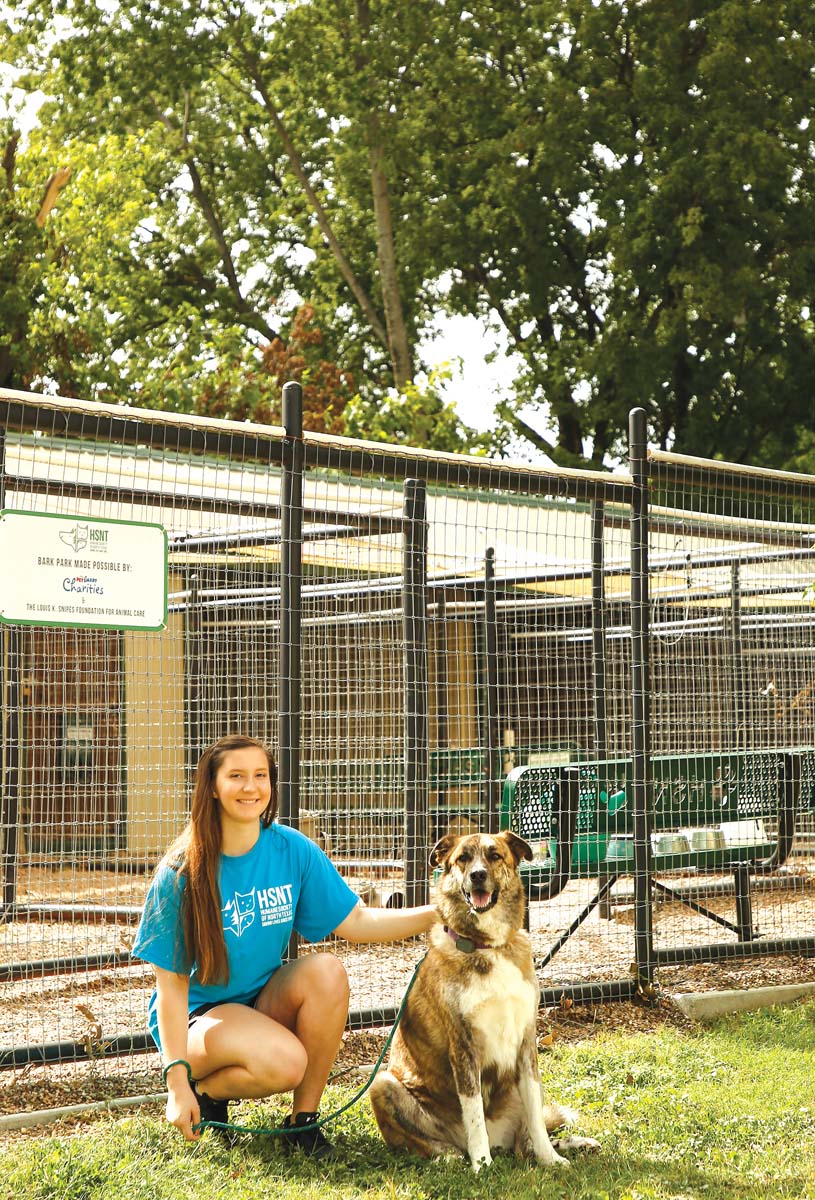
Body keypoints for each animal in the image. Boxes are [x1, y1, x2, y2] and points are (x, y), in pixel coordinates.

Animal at [369, 830, 599, 1172]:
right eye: (462, 858)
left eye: (494, 855)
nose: (477, 875)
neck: (487, 946)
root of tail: (500, 1142)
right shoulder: (464, 1046)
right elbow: (474, 1112)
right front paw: (482, 1165)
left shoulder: (527, 1043)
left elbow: (537, 1120)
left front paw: (551, 1158)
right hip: (382, 1083)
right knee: (429, 1144)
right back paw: (452, 1156)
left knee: (525, 1144)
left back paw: (573, 1145)